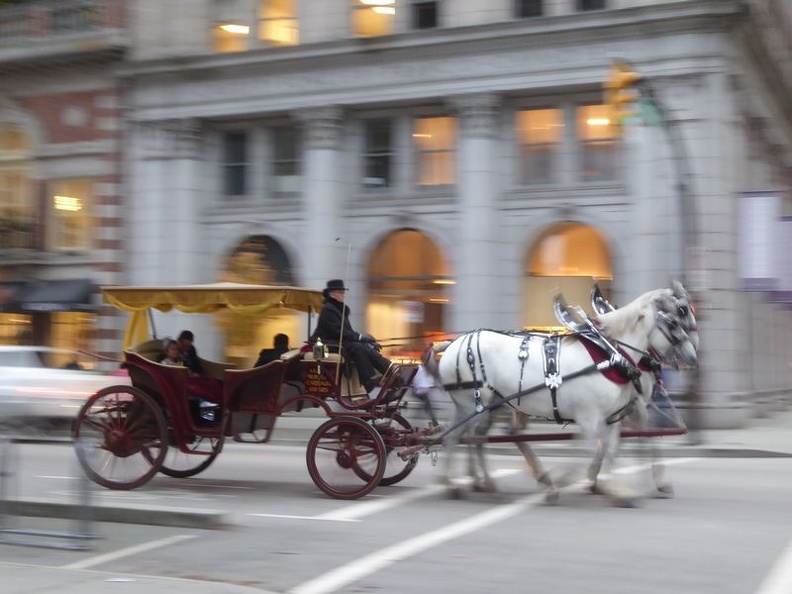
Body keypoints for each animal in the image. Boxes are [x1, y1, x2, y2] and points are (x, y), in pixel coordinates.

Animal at [426, 282, 700, 504]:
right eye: (676, 318)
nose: (693, 357)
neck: (612, 354)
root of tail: (452, 345)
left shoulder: (615, 414)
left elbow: (612, 448)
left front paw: (611, 487)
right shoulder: (597, 415)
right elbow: (605, 446)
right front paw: (576, 482)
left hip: (489, 404)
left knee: (478, 437)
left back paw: (483, 482)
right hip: (474, 405)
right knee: (460, 438)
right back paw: (458, 484)